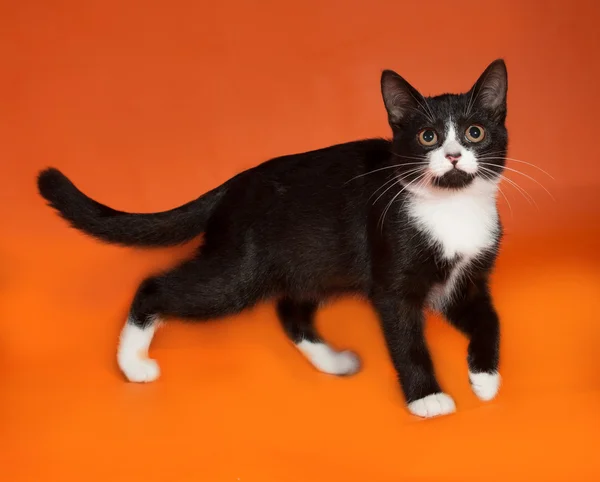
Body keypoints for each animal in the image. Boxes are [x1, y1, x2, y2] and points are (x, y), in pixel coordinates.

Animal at [36, 58, 506, 416]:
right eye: (428, 137)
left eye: (475, 133)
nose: (453, 155)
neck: (452, 211)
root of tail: (234, 184)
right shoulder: (393, 285)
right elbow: (406, 339)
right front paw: (427, 398)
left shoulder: (465, 280)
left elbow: (490, 319)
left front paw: (484, 378)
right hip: (239, 272)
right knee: (156, 286)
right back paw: (133, 363)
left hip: (315, 262)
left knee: (290, 309)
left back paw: (333, 362)